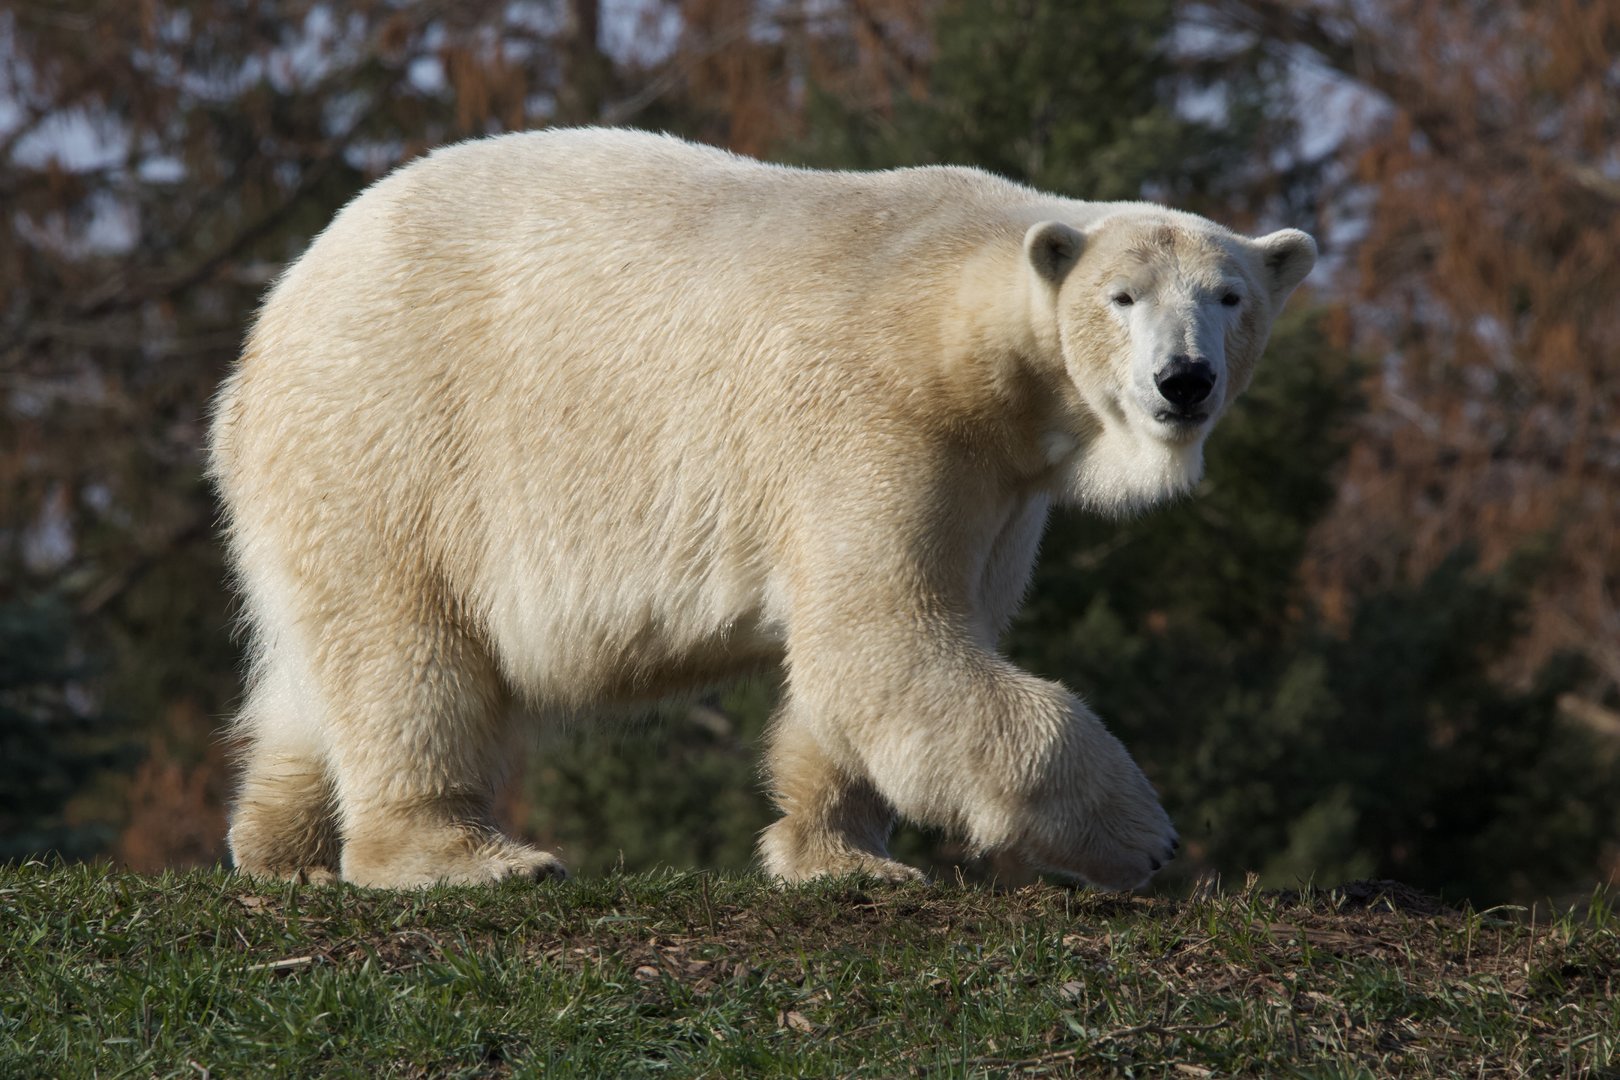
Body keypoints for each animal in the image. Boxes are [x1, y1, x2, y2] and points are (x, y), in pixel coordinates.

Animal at [207, 127, 1316, 890]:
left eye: (1229, 296)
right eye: (1122, 297)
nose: (1184, 381)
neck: (962, 332)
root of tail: (269, 326)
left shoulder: (998, 482)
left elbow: (872, 663)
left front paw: (842, 857)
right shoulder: (876, 416)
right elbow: (883, 638)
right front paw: (1144, 834)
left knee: (316, 667)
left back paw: (278, 847)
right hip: (395, 432)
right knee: (409, 651)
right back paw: (472, 855)